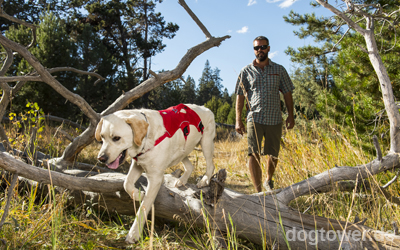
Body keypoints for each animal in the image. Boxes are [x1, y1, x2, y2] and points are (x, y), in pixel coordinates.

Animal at [95, 103, 216, 244]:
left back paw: (204, 180)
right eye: (102, 137)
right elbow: (127, 183)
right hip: (182, 150)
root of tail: (205, 108)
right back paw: (182, 180)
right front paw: (138, 194)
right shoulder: (137, 165)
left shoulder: (155, 179)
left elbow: (143, 207)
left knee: (211, 165)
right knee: (190, 166)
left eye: (116, 138)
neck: (146, 139)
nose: (101, 158)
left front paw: (133, 233)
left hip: (206, 143)